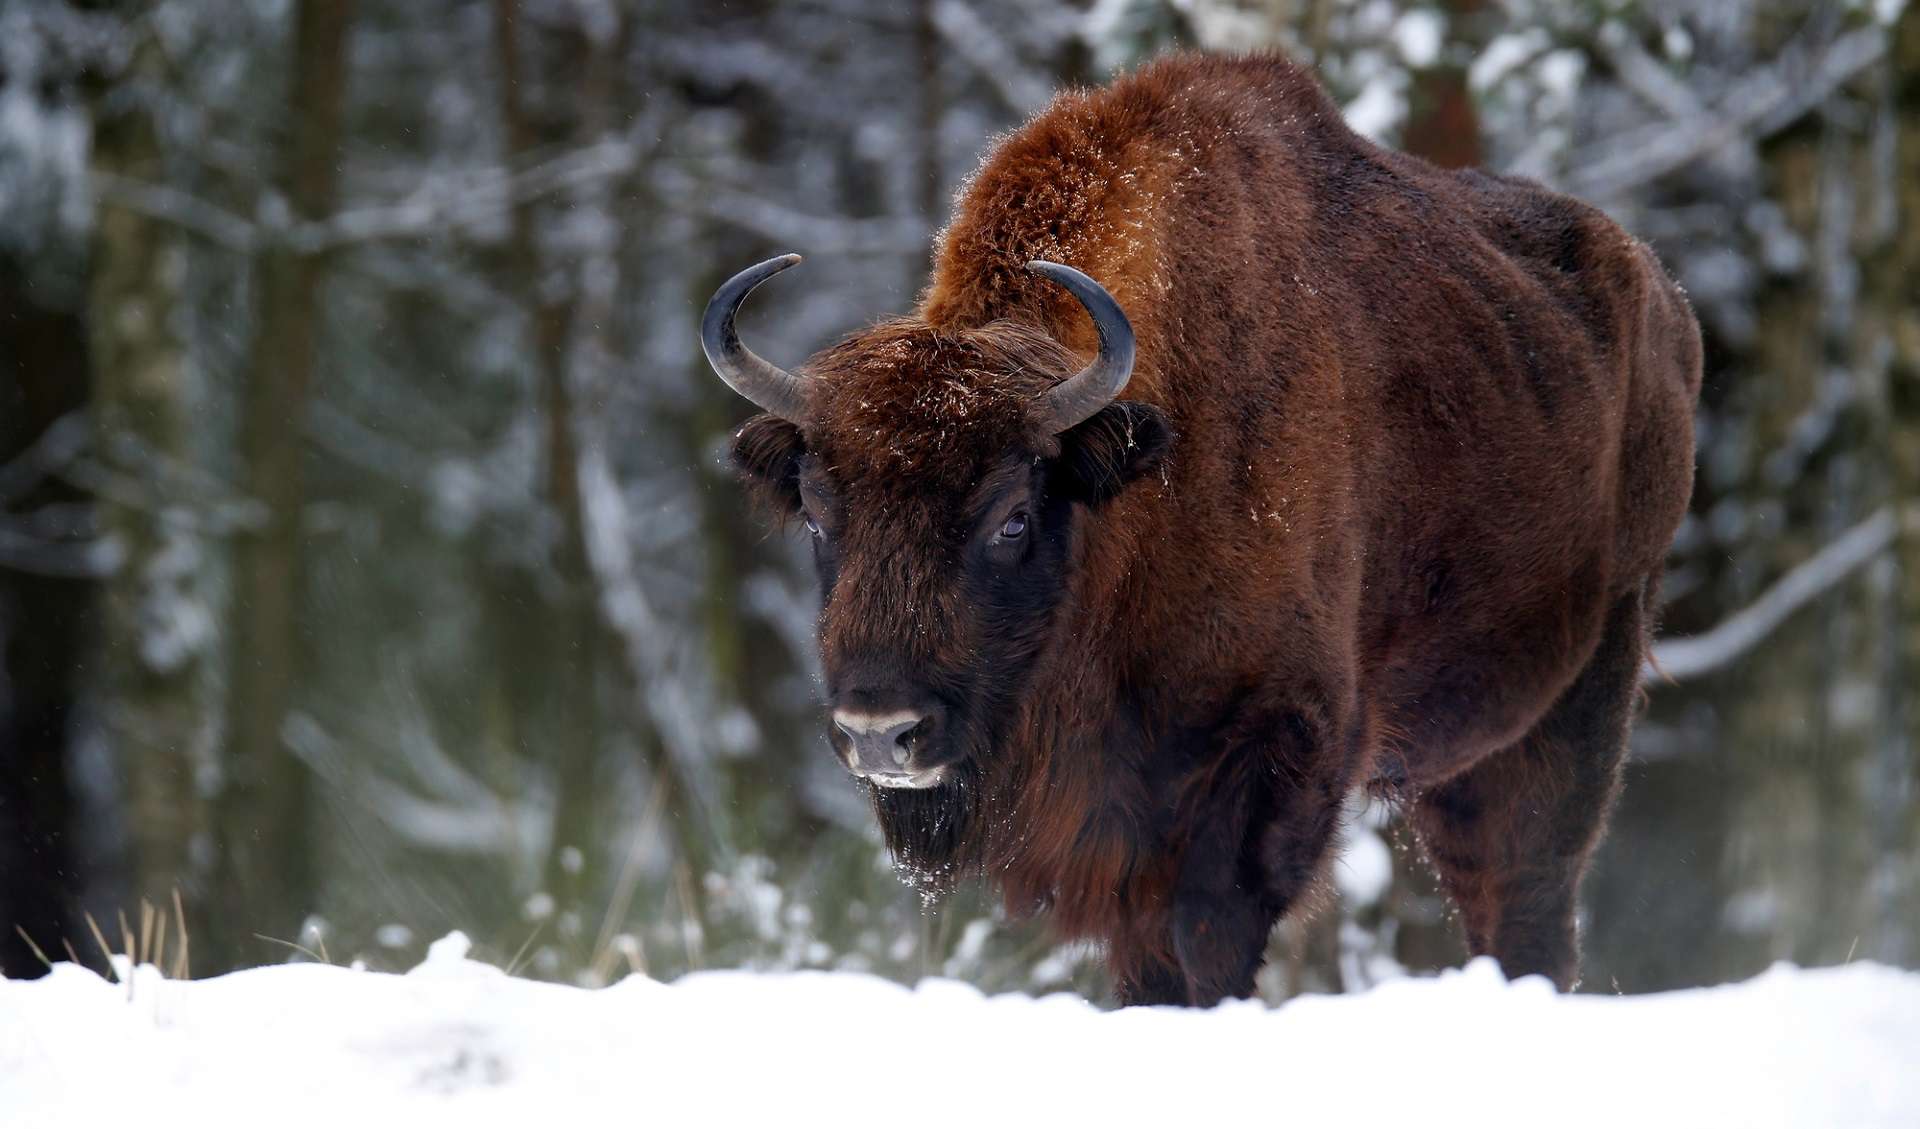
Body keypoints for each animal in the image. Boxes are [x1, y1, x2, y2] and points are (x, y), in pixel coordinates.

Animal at [698, 50, 1704, 1006]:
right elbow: (1147, 963)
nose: (881, 732)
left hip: (1581, 692)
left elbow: (1211, 937)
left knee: (1532, 897)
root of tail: (1666, 304)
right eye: (818, 514)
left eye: (1012, 517)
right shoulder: (1120, 833)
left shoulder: (1272, 756)